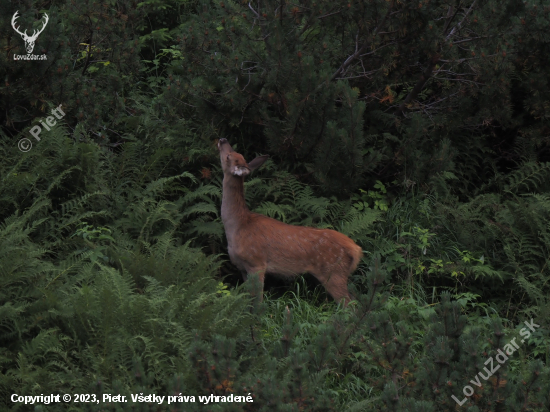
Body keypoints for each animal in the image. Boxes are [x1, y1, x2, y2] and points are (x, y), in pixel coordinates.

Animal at [218, 138, 364, 306]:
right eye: (235, 153)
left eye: (228, 156)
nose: (222, 140)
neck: (237, 226)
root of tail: (355, 249)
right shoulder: (242, 267)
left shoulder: (256, 262)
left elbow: (257, 302)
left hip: (333, 272)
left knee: (349, 304)